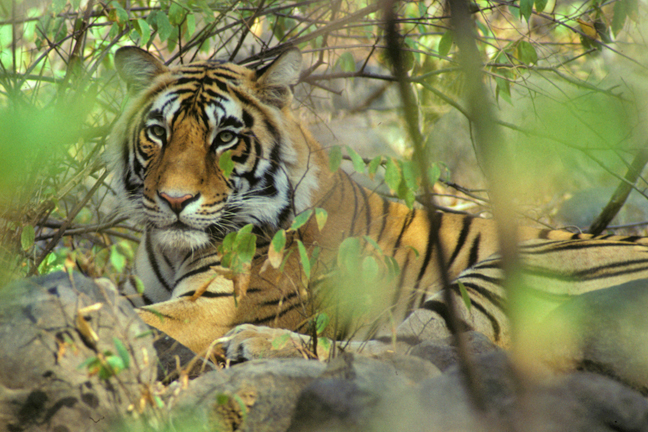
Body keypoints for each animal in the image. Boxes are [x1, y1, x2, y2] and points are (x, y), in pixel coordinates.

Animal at [111, 46, 648, 358]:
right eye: (158, 132)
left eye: (225, 138)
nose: (175, 199)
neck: (172, 248)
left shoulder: (209, 308)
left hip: (509, 276)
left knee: (410, 354)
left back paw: (252, 343)